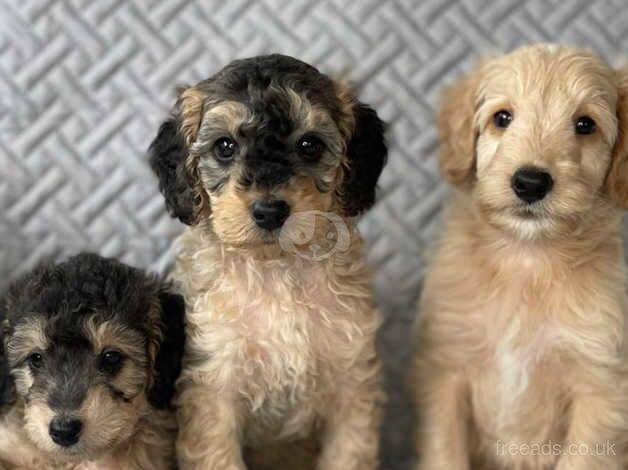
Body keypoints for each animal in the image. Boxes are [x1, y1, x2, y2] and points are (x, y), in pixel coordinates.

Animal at [148, 53, 388, 468]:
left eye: (309, 145)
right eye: (225, 146)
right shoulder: (212, 388)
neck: (276, 270)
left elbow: (349, 454)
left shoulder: (352, 383)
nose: (270, 211)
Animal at [410, 42, 628, 468]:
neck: (527, 261)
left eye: (585, 124)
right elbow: (445, 452)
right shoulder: (446, 371)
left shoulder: (599, 386)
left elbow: (582, 457)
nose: (530, 183)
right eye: (502, 118)